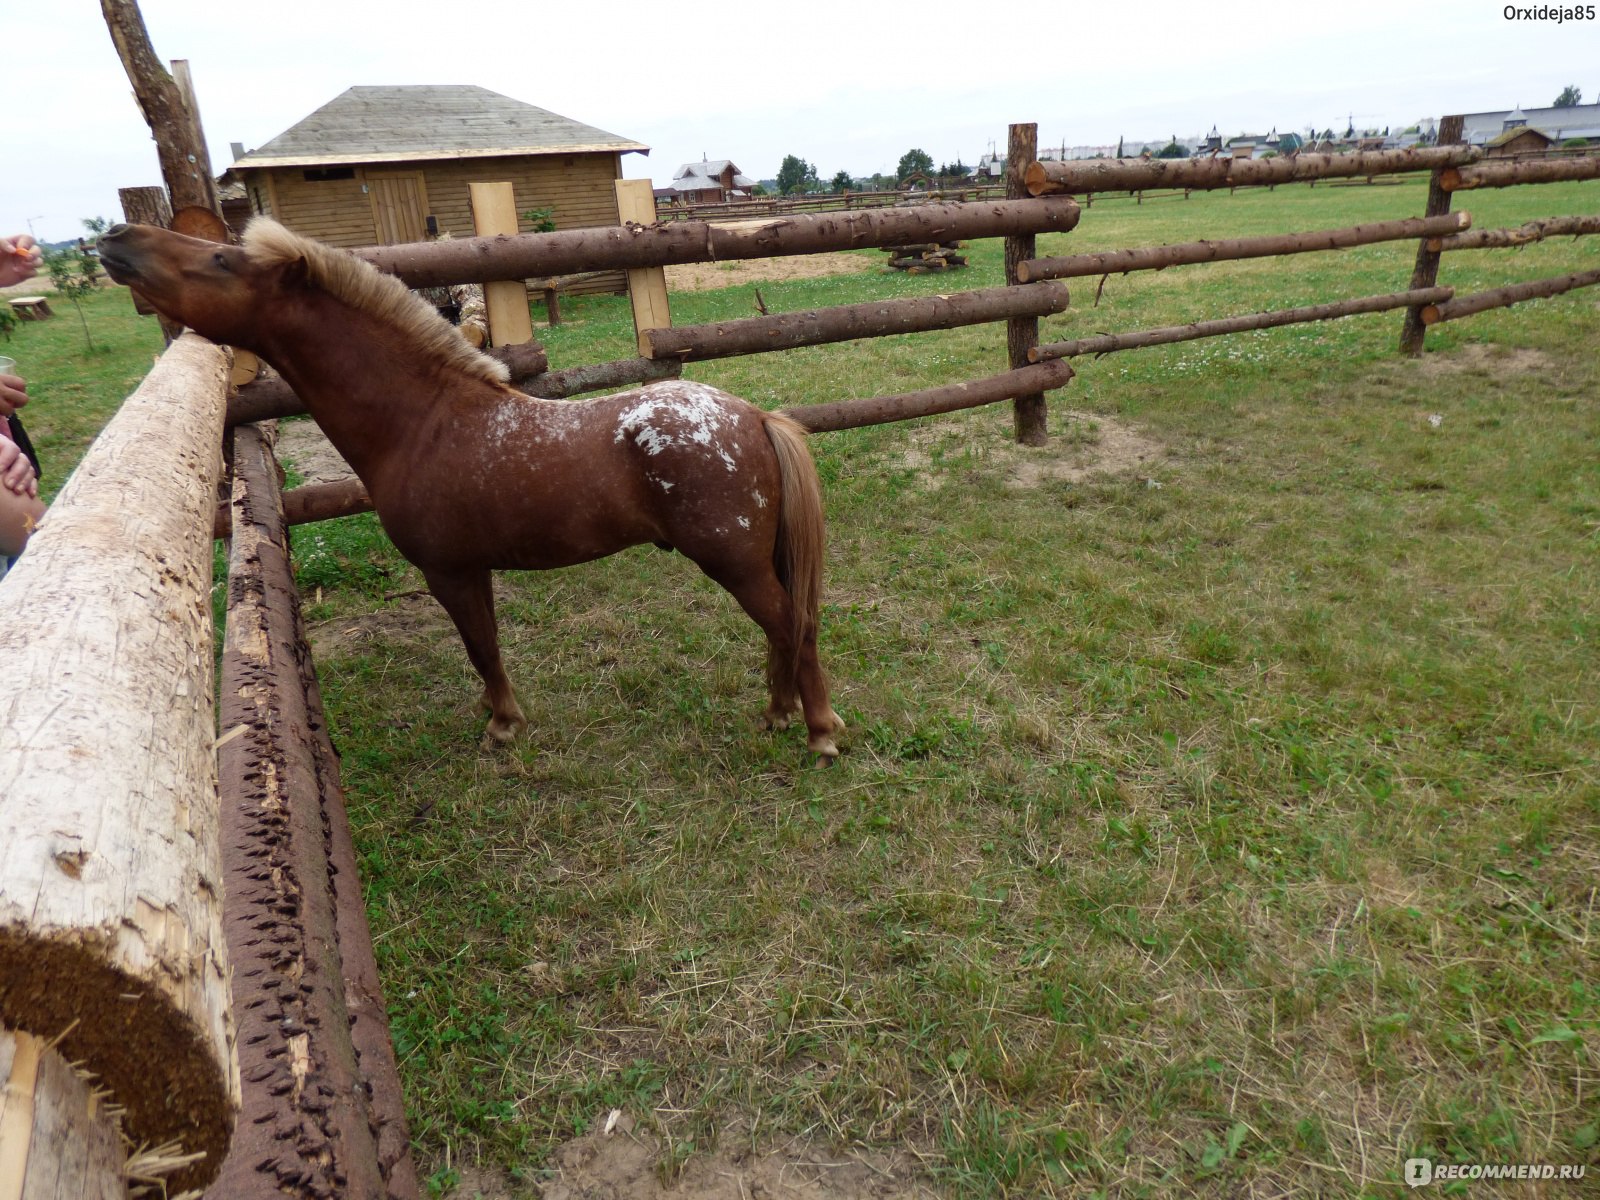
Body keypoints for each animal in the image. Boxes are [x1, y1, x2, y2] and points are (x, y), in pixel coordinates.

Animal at [98, 219, 844, 755]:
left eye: (224, 261)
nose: (116, 240)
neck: (423, 421)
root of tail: (754, 417)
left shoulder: (448, 571)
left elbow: (481, 647)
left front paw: (503, 726)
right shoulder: (472, 568)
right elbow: (485, 646)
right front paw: (496, 712)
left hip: (733, 561)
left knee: (792, 625)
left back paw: (819, 730)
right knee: (783, 632)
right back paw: (778, 713)